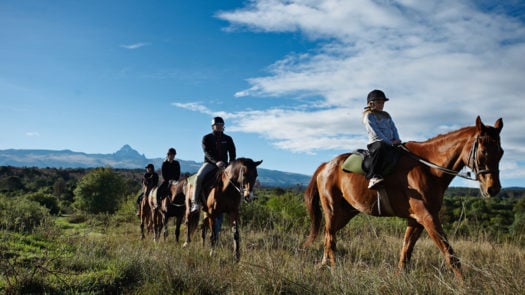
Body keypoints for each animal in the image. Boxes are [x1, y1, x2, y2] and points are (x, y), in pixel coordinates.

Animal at [302, 117, 504, 280]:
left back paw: (323, 265)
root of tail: (326, 165)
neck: (428, 168)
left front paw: (399, 277)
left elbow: (406, 251)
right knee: (330, 238)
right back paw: (334, 269)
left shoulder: (416, 220)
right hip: (332, 210)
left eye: (501, 152)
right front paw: (464, 284)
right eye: (483, 151)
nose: (493, 189)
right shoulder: (428, 217)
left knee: (328, 236)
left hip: (346, 213)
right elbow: (449, 253)